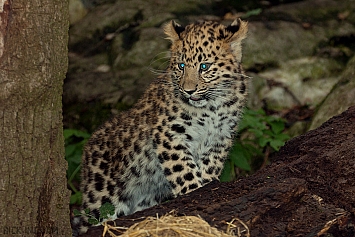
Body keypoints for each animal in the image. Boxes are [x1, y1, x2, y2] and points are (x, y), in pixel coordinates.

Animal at [73, 18, 250, 235]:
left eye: (204, 66)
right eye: (181, 66)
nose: (188, 90)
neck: (212, 106)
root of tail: (88, 149)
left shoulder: (221, 137)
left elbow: (210, 165)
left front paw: (207, 183)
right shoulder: (169, 134)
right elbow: (183, 169)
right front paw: (193, 190)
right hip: (101, 196)